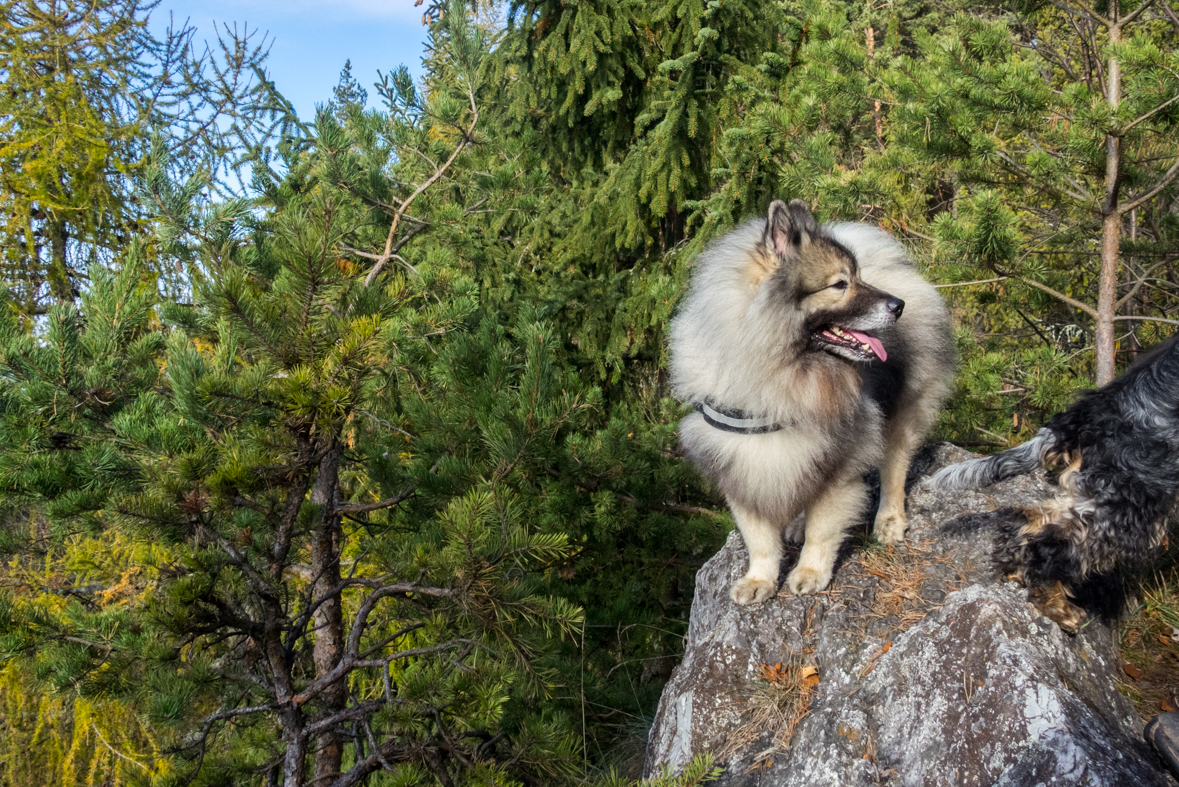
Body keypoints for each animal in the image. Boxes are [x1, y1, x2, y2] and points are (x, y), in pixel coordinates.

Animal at [929, 339, 1179, 631]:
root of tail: (1089, 411)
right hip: (1135, 498)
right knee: (1055, 544)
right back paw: (1058, 607)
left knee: (1030, 522)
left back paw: (1016, 571)